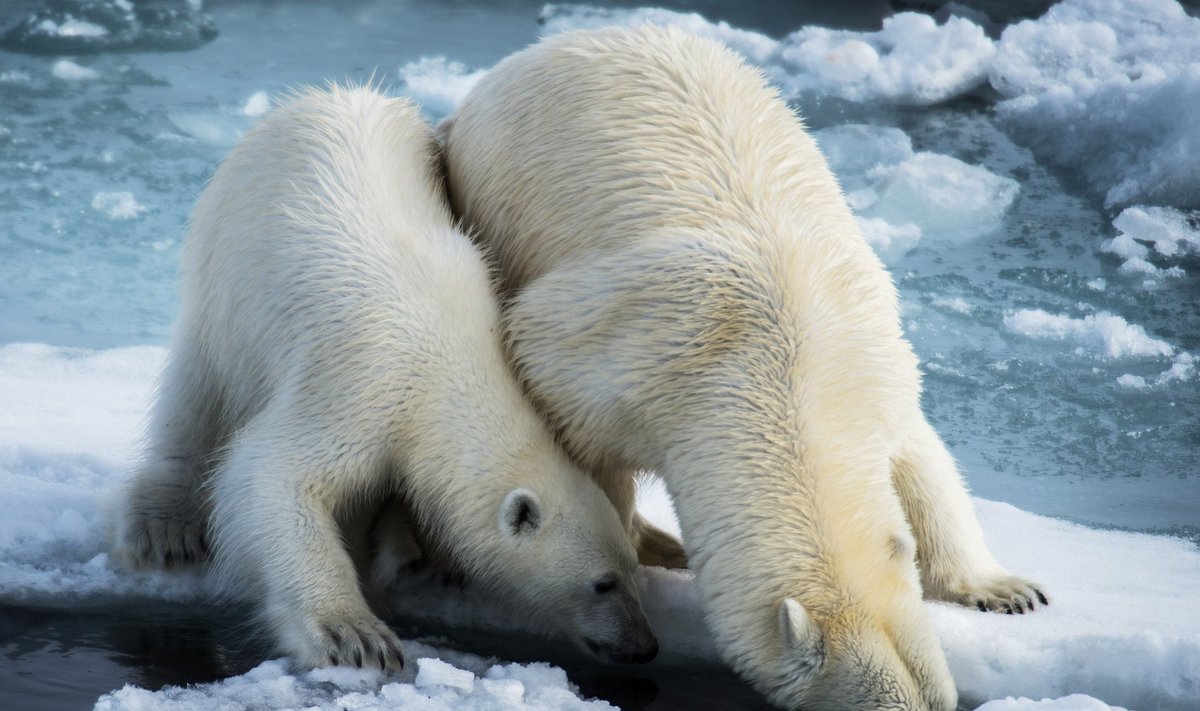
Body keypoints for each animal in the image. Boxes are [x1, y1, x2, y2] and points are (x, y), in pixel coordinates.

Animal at [114, 85, 657, 667]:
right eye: (603, 582)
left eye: (633, 572)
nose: (645, 646)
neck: (447, 362)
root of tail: (328, 95)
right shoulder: (362, 386)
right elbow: (272, 475)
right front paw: (354, 632)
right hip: (227, 264)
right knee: (198, 390)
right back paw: (165, 528)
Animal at [444, 24, 1051, 711]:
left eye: (941, 703)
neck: (783, 371)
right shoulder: (607, 355)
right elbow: (588, 456)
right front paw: (639, 550)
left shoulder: (873, 365)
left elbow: (924, 460)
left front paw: (1006, 591)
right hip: (498, 192)